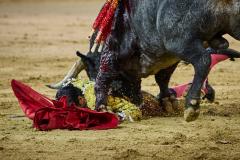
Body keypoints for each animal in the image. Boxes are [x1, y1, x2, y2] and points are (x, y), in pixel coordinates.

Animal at [94, 0, 240, 121]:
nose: (138, 102)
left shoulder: (114, 52)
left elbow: (103, 76)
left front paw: (101, 107)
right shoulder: (169, 59)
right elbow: (163, 77)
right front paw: (168, 99)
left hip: (179, 40)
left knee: (203, 60)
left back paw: (191, 104)